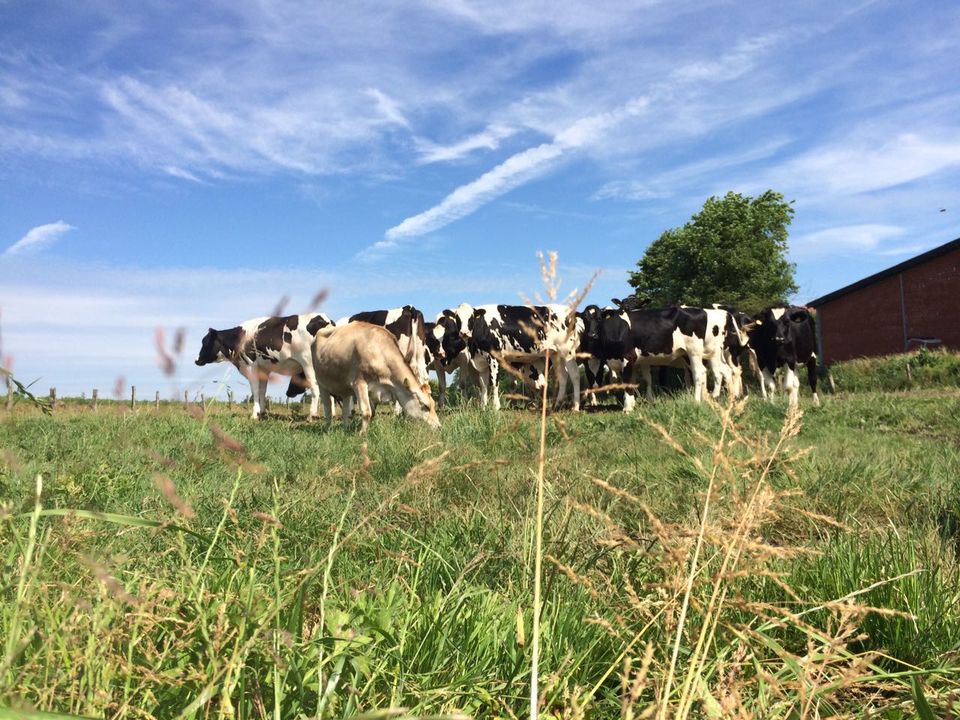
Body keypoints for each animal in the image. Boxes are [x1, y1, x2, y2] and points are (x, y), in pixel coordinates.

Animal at [193, 310, 336, 422]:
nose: (196, 360)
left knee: (315, 389)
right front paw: (262, 413)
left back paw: (311, 416)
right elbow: (262, 391)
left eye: (205, 342)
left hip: (308, 364)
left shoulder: (250, 367)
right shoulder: (264, 371)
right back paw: (331, 415)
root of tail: (324, 319)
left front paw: (254, 415)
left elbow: (255, 391)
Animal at [310, 322, 440, 434]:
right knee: (327, 408)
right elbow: (366, 411)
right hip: (321, 383)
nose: (439, 427)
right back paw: (328, 429)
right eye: (425, 406)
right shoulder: (359, 383)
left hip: (345, 388)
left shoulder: (374, 390)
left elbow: (372, 413)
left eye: (433, 404)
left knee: (345, 409)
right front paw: (361, 434)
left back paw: (345, 428)